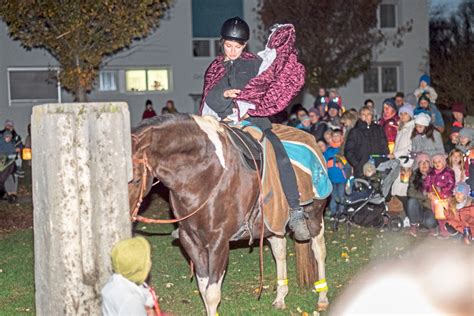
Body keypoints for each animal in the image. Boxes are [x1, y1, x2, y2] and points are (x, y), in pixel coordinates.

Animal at [129, 113, 330, 314]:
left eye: (135, 180)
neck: (204, 174)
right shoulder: (190, 240)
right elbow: (203, 288)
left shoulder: (218, 242)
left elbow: (212, 293)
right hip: (273, 220)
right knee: (279, 250)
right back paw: (280, 297)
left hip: (314, 216)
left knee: (319, 251)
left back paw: (322, 297)